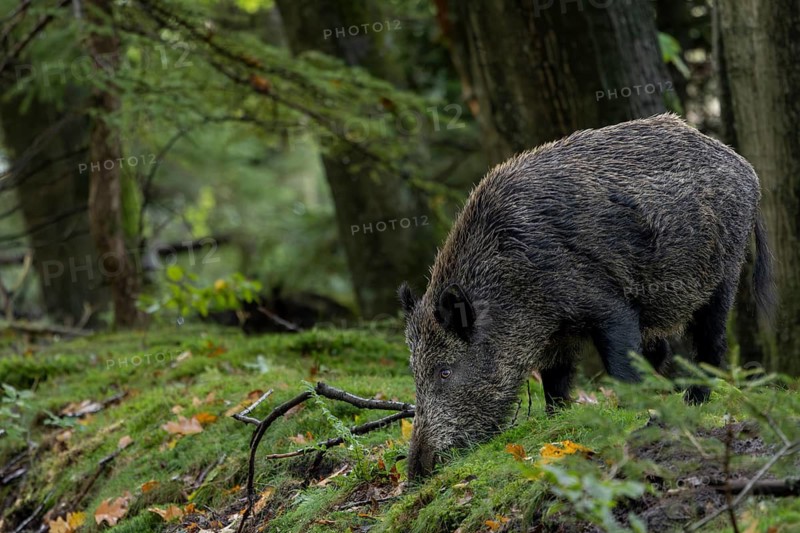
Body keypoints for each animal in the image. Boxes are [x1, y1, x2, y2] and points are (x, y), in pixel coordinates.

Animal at [399, 113, 774, 479]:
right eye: (415, 370)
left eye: (444, 371)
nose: (417, 472)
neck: (514, 284)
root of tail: (747, 169)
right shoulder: (556, 336)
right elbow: (555, 381)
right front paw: (558, 421)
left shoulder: (608, 305)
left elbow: (620, 364)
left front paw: (633, 412)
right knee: (663, 350)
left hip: (723, 275)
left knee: (711, 342)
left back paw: (693, 401)